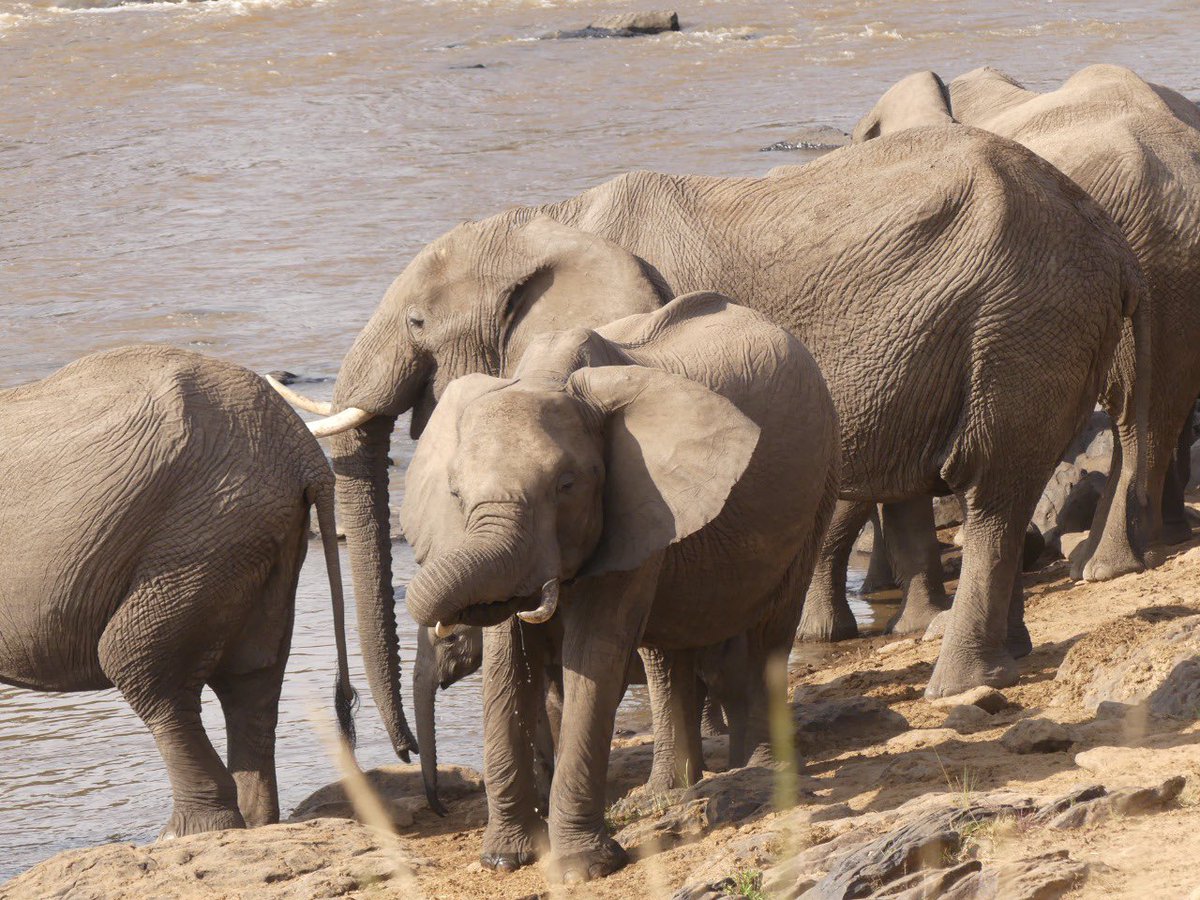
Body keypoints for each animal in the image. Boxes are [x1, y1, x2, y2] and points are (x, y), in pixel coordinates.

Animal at [0, 346, 356, 838]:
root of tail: (305, 453)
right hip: (259, 538)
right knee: (251, 676)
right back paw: (254, 823)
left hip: (205, 531)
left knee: (136, 660)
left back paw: (189, 833)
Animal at [279, 120, 1148, 723]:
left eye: (418, 323)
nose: (392, 741)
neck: (550, 220)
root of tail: (1112, 239)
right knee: (1007, 482)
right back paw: (1006, 656)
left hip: (1022, 324)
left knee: (992, 491)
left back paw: (956, 683)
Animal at [398, 293, 839, 880]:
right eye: (455, 493)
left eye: (565, 486)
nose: (440, 809)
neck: (547, 377)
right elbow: (507, 662)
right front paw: (503, 859)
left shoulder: (639, 499)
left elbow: (593, 653)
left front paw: (582, 869)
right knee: (668, 652)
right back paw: (670, 793)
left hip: (819, 482)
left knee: (769, 632)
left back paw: (758, 773)